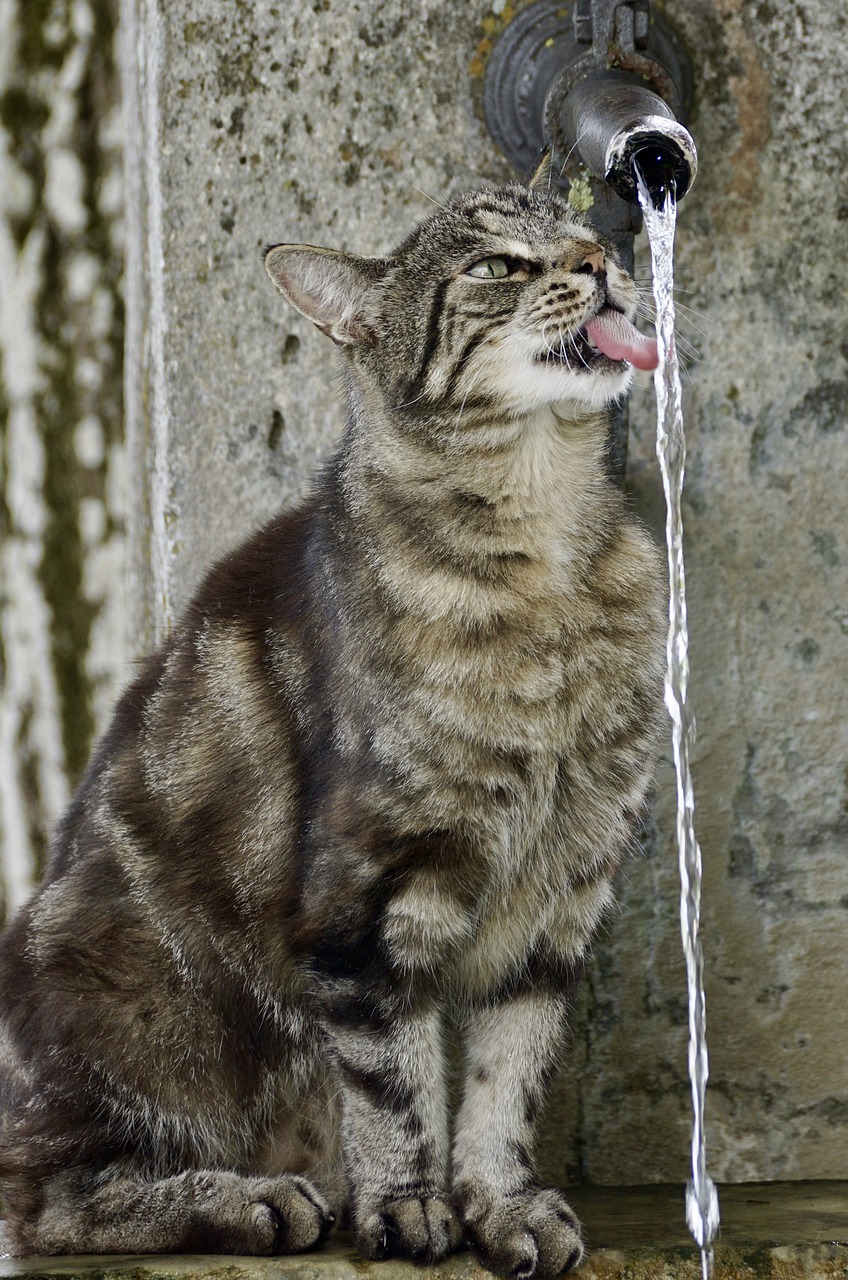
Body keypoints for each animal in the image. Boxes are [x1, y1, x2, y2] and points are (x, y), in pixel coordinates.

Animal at [0, 172, 666, 1280]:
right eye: (496, 266)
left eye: (582, 232)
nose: (601, 260)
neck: (547, 551)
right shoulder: (367, 893)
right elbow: (397, 1083)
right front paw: (405, 1208)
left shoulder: (560, 893)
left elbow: (506, 1078)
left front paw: (503, 1204)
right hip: (125, 998)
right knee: (45, 1196)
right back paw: (255, 1201)